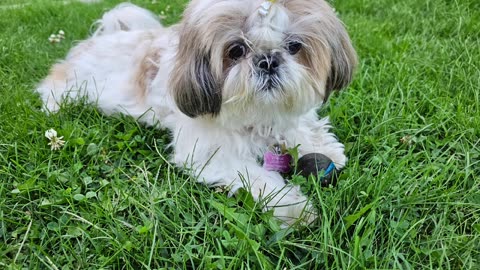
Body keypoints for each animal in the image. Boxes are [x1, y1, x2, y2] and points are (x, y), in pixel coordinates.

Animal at [37, 0, 356, 226]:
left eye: (294, 46)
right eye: (236, 50)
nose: (267, 60)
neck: (259, 114)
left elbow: (302, 127)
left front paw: (325, 148)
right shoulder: (209, 151)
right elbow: (258, 177)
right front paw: (293, 208)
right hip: (77, 84)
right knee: (52, 83)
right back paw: (52, 106)